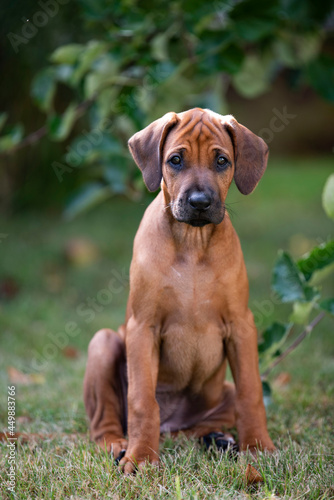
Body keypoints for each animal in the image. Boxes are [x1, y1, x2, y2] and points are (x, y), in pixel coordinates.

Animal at [84, 107, 276, 474]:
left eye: (221, 161)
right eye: (175, 160)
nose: (200, 202)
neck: (192, 243)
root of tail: (171, 424)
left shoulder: (241, 326)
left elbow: (251, 393)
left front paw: (258, 446)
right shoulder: (143, 327)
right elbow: (142, 400)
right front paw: (141, 457)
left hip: (218, 394)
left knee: (195, 428)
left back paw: (217, 438)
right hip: (103, 343)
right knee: (104, 423)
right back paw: (118, 443)